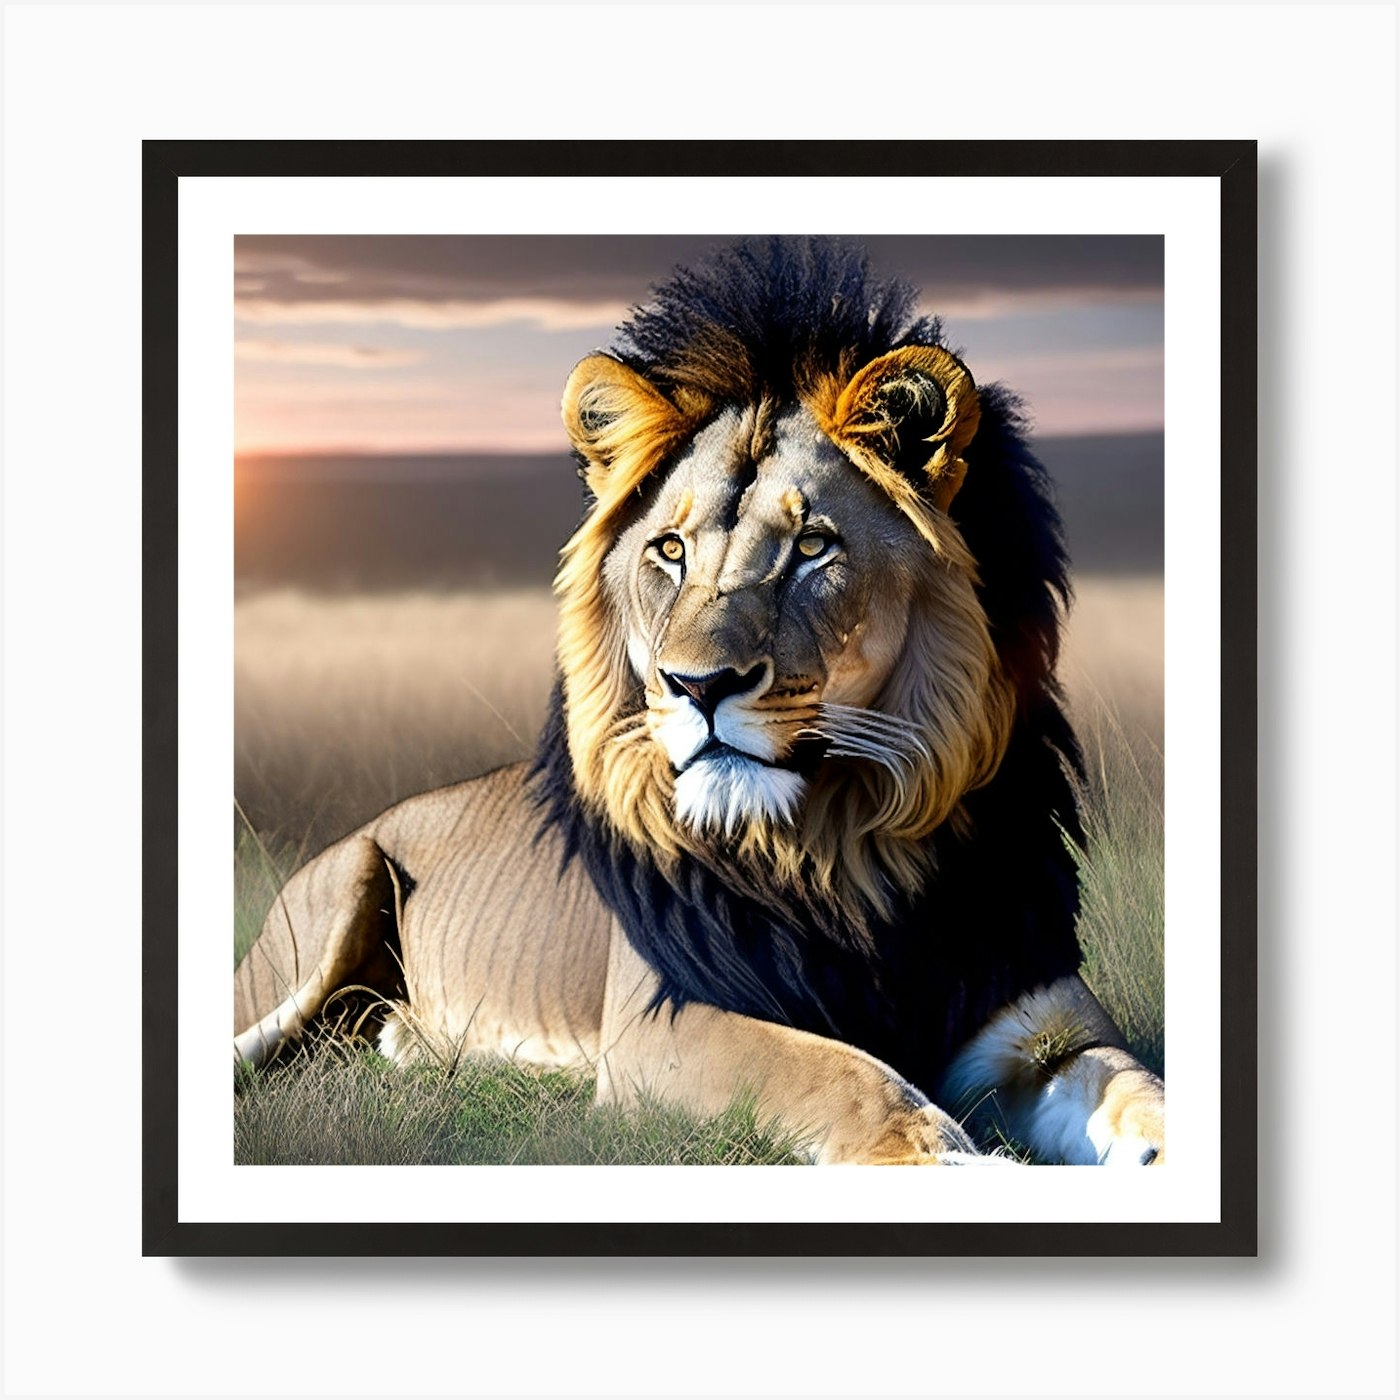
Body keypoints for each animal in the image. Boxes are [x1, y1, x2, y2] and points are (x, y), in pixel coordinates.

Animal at [234, 238, 1165, 1166]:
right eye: (670, 550)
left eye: (813, 546)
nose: (697, 685)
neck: (845, 843)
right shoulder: (664, 1026)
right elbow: (855, 1079)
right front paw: (956, 1158)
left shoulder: (1041, 1019)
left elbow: (1140, 1091)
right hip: (333, 903)